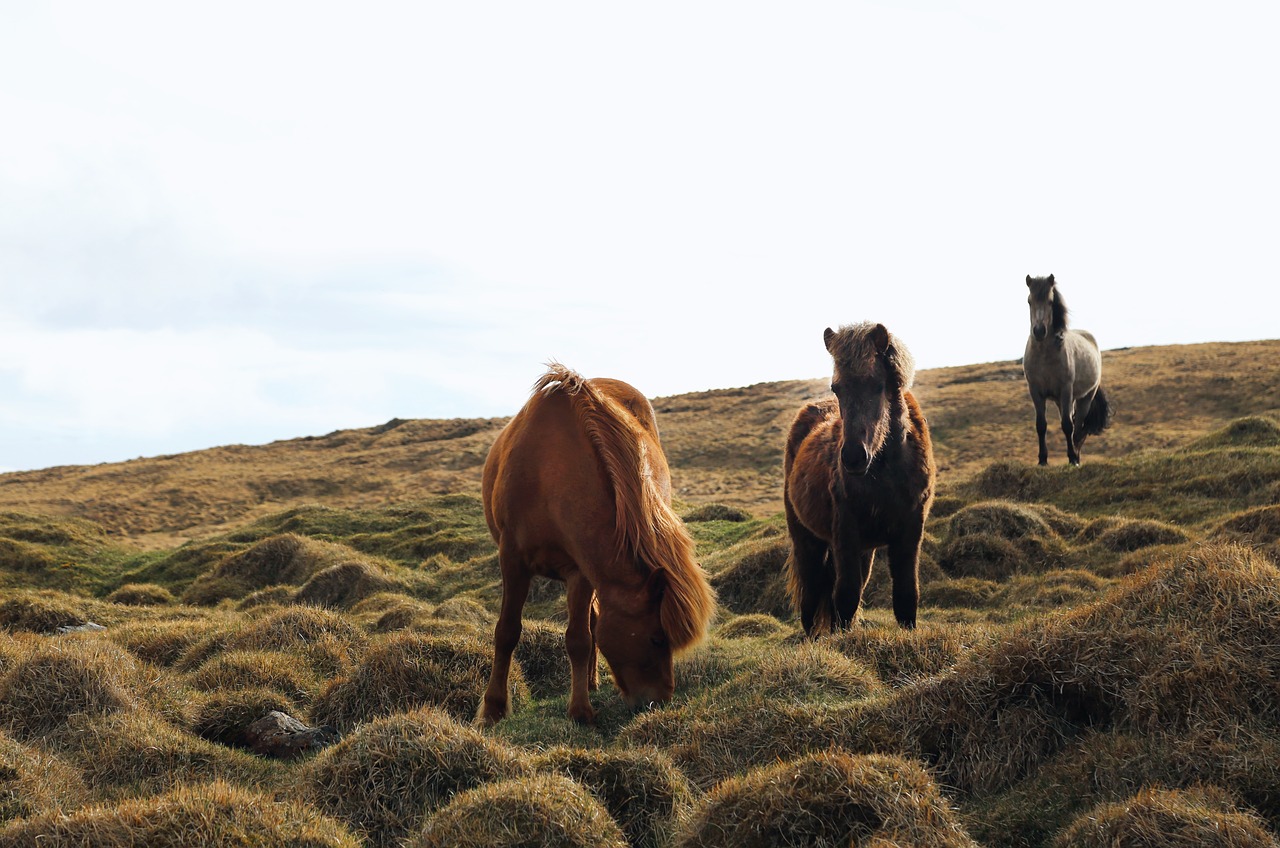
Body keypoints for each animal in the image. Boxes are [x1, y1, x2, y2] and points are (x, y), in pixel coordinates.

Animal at [481, 361, 721, 727]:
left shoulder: (580, 570)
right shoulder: (512, 560)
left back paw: (590, 682)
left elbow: (579, 638)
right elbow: (507, 631)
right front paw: (494, 708)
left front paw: (580, 710)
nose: (660, 700)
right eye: (657, 638)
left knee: (592, 623)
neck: (548, 472)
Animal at [783, 322, 936, 635]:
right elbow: (845, 597)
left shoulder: (910, 531)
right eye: (837, 388)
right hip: (807, 538)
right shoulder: (846, 533)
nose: (853, 457)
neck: (886, 473)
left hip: (863, 550)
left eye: (878, 385)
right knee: (811, 594)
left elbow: (906, 596)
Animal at [1018, 277, 1111, 466]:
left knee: (1077, 428)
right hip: (1062, 401)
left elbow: (1067, 425)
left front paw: (1072, 459)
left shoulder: (1066, 390)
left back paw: (1076, 456)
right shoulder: (1035, 392)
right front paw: (1042, 460)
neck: (1044, 355)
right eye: (1029, 301)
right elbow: (1041, 425)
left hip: (1083, 398)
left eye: (1050, 301)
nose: (1039, 331)